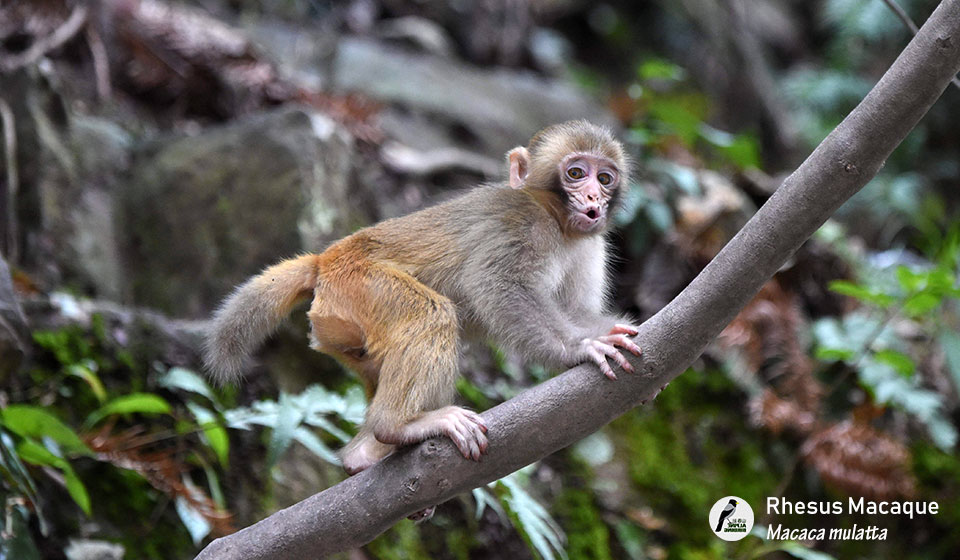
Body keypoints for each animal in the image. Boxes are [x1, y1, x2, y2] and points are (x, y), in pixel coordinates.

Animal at [208, 120, 644, 480]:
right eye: (576, 173)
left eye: (606, 177)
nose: (594, 196)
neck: (555, 221)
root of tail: (325, 259)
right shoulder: (519, 225)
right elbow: (501, 287)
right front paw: (579, 348)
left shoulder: (589, 245)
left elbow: (575, 311)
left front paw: (612, 332)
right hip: (362, 284)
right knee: (429, 315)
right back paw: (397, 426)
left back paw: (365, 453)